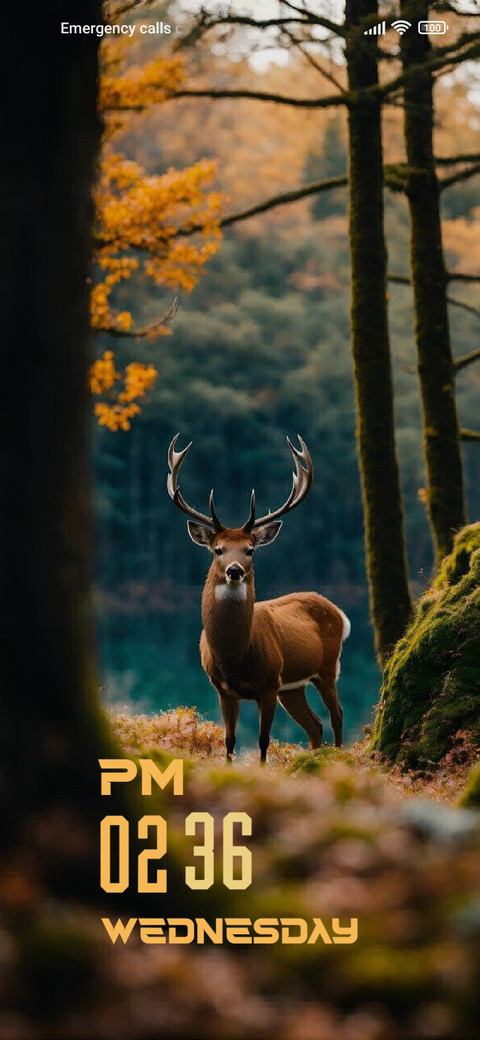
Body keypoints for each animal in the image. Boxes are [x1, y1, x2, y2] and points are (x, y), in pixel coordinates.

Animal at [167, 434, 350, 764]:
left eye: (250, 549)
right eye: (218, 549)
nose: (235, 570)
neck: (233, 657)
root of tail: (340, 613)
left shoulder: (267, 684)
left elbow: (264, 741)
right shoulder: (223, 689)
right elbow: (229, 740)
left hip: (327, 666)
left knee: (336, 714)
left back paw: (339, 759)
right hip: (292, 687)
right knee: (315, 724)